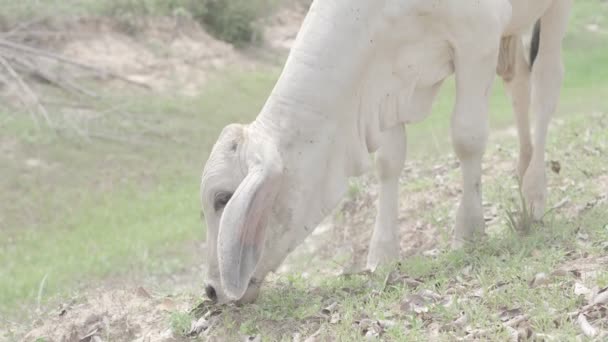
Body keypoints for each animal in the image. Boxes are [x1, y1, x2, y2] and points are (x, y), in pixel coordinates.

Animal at [202, 0, 572, 304]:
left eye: (223, 198)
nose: (211, 290)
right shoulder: (387, 82)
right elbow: (388, 161)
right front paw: (382, 254)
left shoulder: (478, 37)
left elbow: (467, 137)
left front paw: (469, 231)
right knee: (518, 79)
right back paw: (523, 169)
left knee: (546, 82)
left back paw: (535, 191)